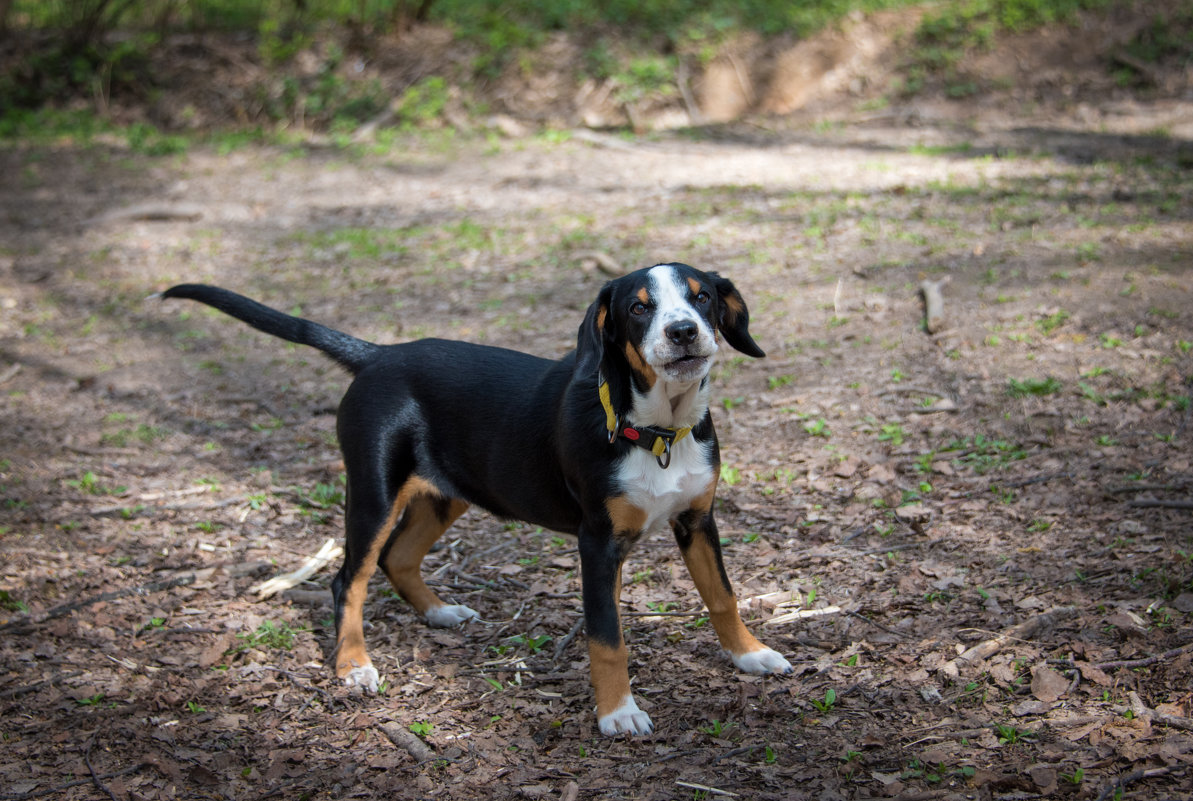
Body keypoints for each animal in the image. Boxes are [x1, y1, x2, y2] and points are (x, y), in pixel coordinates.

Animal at [158, 262, 792, 735]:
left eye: (701, 297)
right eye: (639, 308)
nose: (683, 331)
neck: (659, 429)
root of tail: (379, 354)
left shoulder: (697, 520)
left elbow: (722, 596)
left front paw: (750, 655)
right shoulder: (597, 541)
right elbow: (606, 636)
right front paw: (618, 713)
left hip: (447, 494)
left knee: (398, 558)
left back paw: (440, 611)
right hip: (373, 493)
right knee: (349, 579)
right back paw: (355, 664)